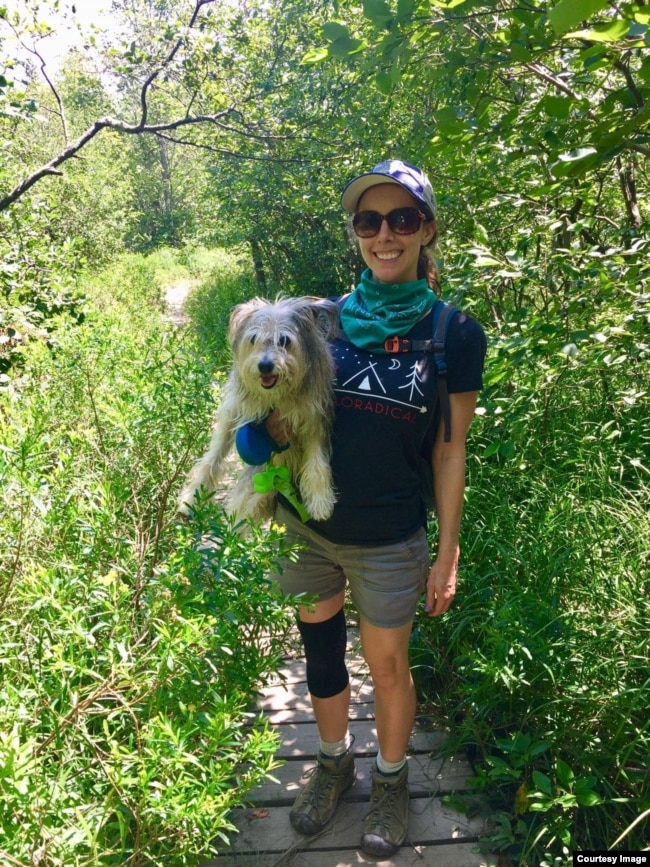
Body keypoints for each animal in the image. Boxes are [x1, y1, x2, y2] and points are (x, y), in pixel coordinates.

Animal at [178, 294, 336, 524]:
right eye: (253, 339)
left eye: (284, 340)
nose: (265, 365)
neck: (276, 397)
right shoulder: (235, 412)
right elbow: (213, 456)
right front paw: (191, 496)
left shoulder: (313, 418)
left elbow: (317, 460)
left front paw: (320, 499)